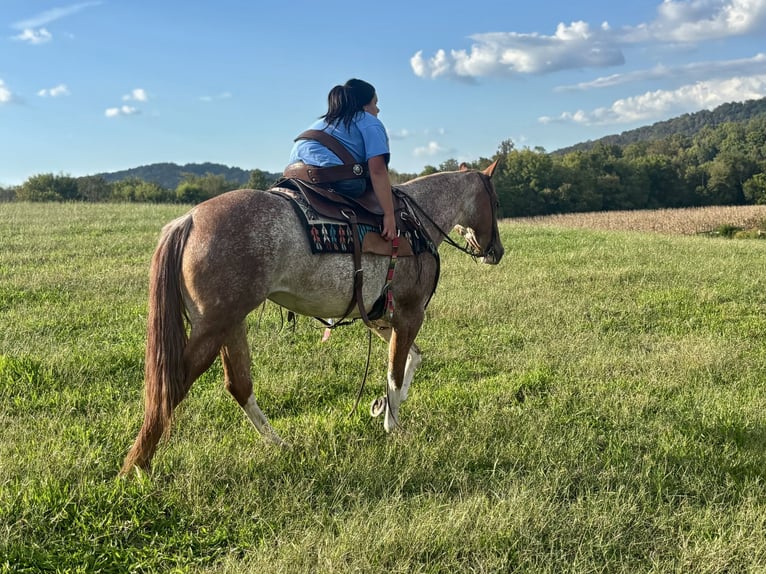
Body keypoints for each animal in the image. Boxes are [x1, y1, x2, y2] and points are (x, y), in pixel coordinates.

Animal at [120, 161, 504, 475]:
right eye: (496, 203)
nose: (496, 252)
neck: (415, 224)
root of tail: (189, 220)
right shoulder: (410, 314)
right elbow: (395, 373)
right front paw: (392, 425)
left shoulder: (384, 316)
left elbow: (413, 358)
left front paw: (384, 406)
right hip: (212, 328)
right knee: (173, 385)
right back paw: (139, 465)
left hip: (230, 324)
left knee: (239, 385)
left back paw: (279, 444)